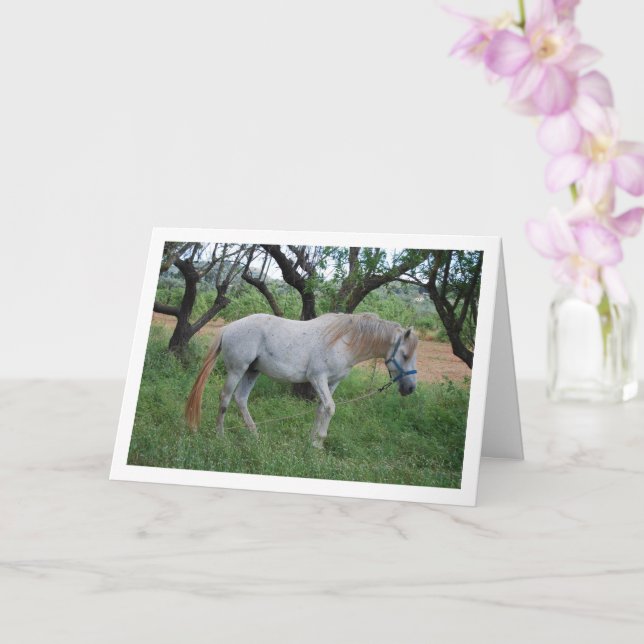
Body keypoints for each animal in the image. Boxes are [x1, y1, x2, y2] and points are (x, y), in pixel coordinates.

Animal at [185, 312, 419, 448]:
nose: (410, 388)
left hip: (252, 371)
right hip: (237, 369)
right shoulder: (317, 378)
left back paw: (255, 435)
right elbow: (330, 408)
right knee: (225, 398)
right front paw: (320, 442)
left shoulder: (332, 383)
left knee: (241, 399)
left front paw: (312, 442)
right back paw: (221, 436)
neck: (343, 341)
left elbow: (322, 409)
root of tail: (228, 327)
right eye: (405, 355)